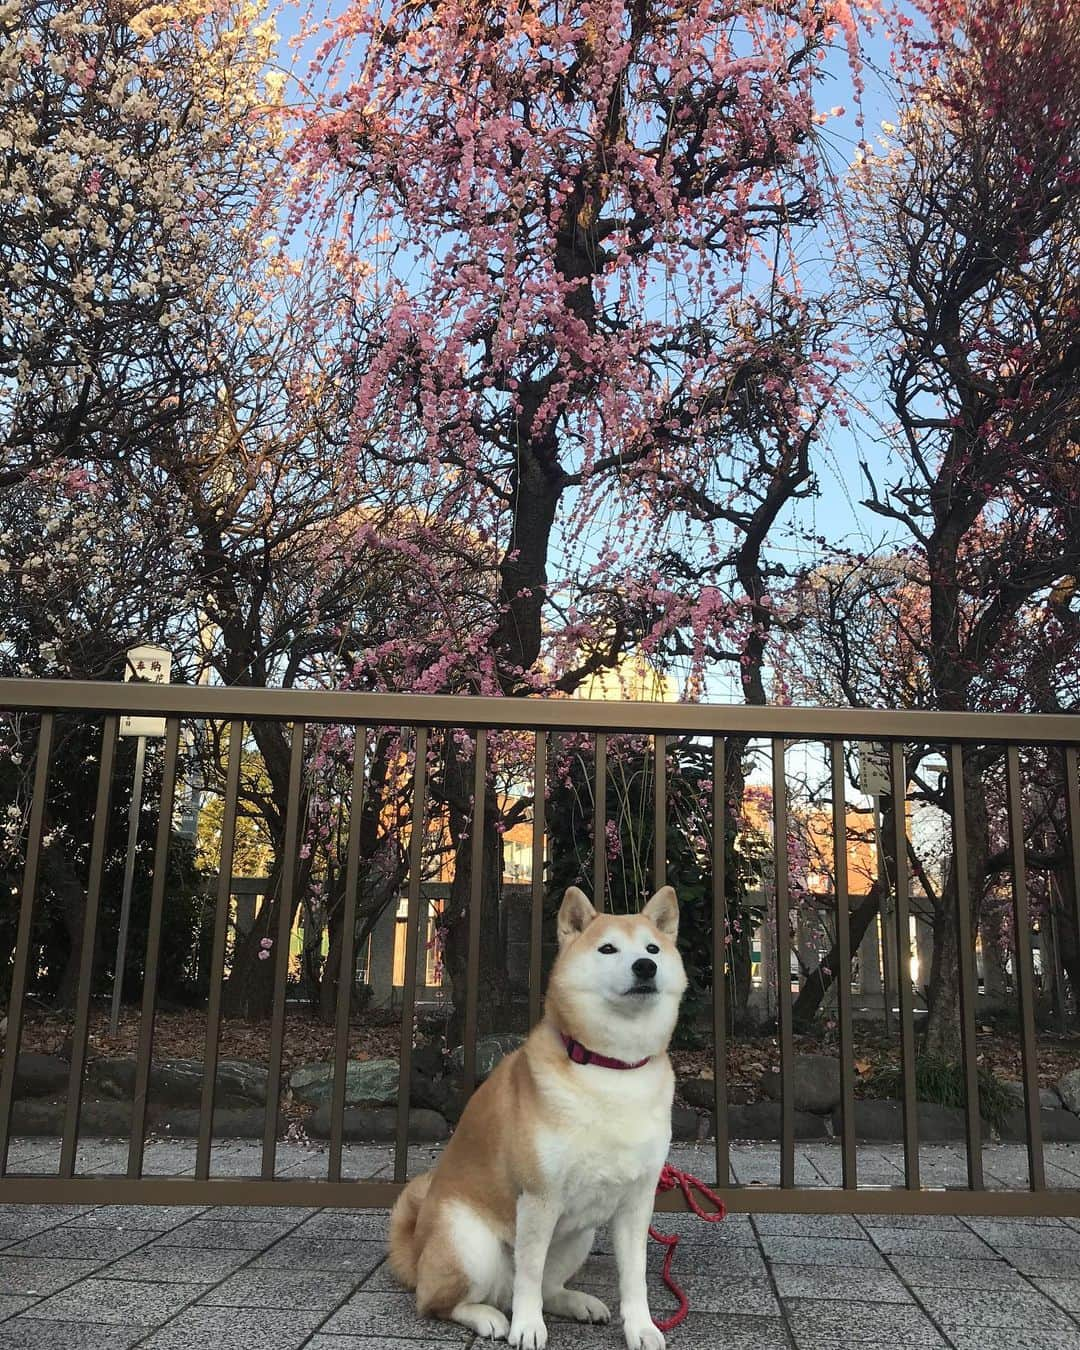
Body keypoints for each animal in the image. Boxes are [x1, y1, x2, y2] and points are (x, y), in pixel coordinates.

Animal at [391, 885, 688, 1350]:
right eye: (608, 948)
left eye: (652, 948)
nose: (645, 966)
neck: (611, 1068)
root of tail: (417, 1254)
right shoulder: (538, 1198)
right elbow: (528, 1276)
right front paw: (527, 1328)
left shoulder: (637, 1202)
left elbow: (635, 1276)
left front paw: (641, 1328)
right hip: (470, 1245)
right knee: (440, 1302)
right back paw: (491, 1317)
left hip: (578, 1236)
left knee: (549, 1288)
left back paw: (577, 1303)